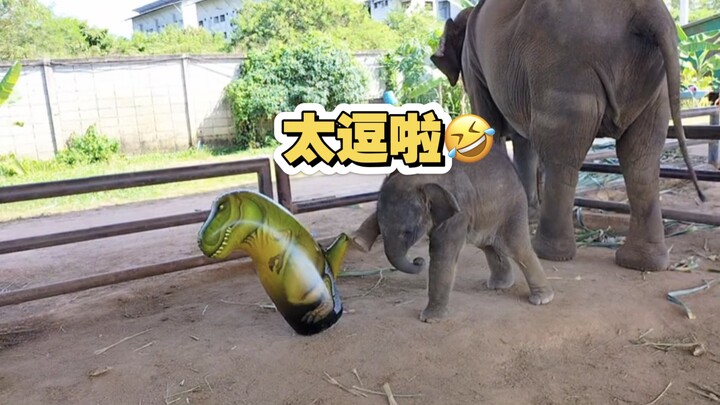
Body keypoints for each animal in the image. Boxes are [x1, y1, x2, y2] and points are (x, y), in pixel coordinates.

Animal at [350, 145, 554, 323]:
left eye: (408, 232)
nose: (418, 261)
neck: (424, 177)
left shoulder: (458, 212)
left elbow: (443, 254)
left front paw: (430, 320)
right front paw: (358, 243)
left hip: (512, 208)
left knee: (517, 248)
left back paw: (542, 299)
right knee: (488, 246)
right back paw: (498, 285)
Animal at [430, 0, 706, 272]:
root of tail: (647, 11)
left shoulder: (474, 63)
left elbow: (495, 127)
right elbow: (522, 140)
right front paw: (526, 214)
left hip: (563, 69)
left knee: (561, 156)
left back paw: (548, 252)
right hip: (652, 83)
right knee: (641, 158)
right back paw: (642, 262)